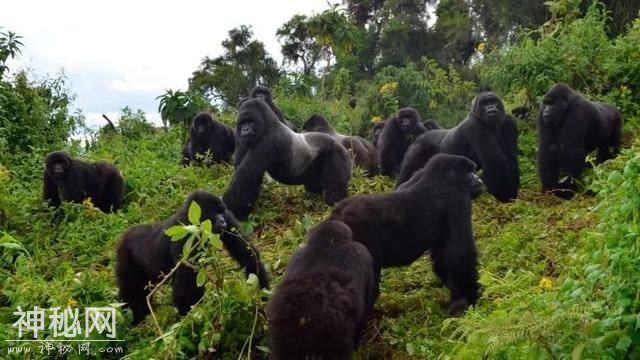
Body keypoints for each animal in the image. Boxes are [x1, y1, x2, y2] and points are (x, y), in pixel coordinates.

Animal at [116, 191, 268, 324]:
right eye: (215, 213)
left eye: (222, 212)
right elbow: (186, 286)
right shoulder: (187, 235)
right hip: (124, 252)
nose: (222, 221)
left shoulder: (228, 218)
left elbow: (247, 256)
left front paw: (262, 293)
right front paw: (190, 320)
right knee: (130, 290)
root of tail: (125, 235)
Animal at [221, 100, 350, 221]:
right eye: (243, 123)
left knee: (335, 187)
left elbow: (245, 178)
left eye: (251, 122)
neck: (268, 124)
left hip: (337, 152)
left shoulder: (270, 141)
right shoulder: (239, 137)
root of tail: (340, 144)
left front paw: (229, 211)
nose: (245, 129)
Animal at [330, 153, 480, 316]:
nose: (478, 179)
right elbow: (459, 255)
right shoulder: (457, 197)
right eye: (470, 173)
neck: (438, 175)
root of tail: (337, 215)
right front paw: (467, 299)